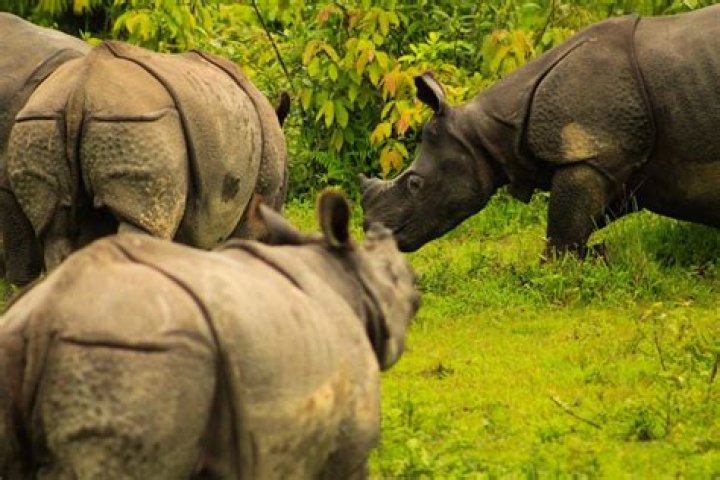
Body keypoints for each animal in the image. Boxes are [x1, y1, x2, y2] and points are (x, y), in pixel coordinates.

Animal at [0, 190, 420, 479]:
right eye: (408, 289)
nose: (416, 283)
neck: (347, 277)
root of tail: (42, 318)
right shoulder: (347, 450)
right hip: (128, 357)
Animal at [361, 6, 720, 257]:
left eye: (415, 184)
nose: (370, 232)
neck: (487, 132)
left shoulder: (592, 153)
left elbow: (564, 227)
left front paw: (561, 267)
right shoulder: (614, 158)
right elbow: (585, 219)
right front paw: (597, 255)